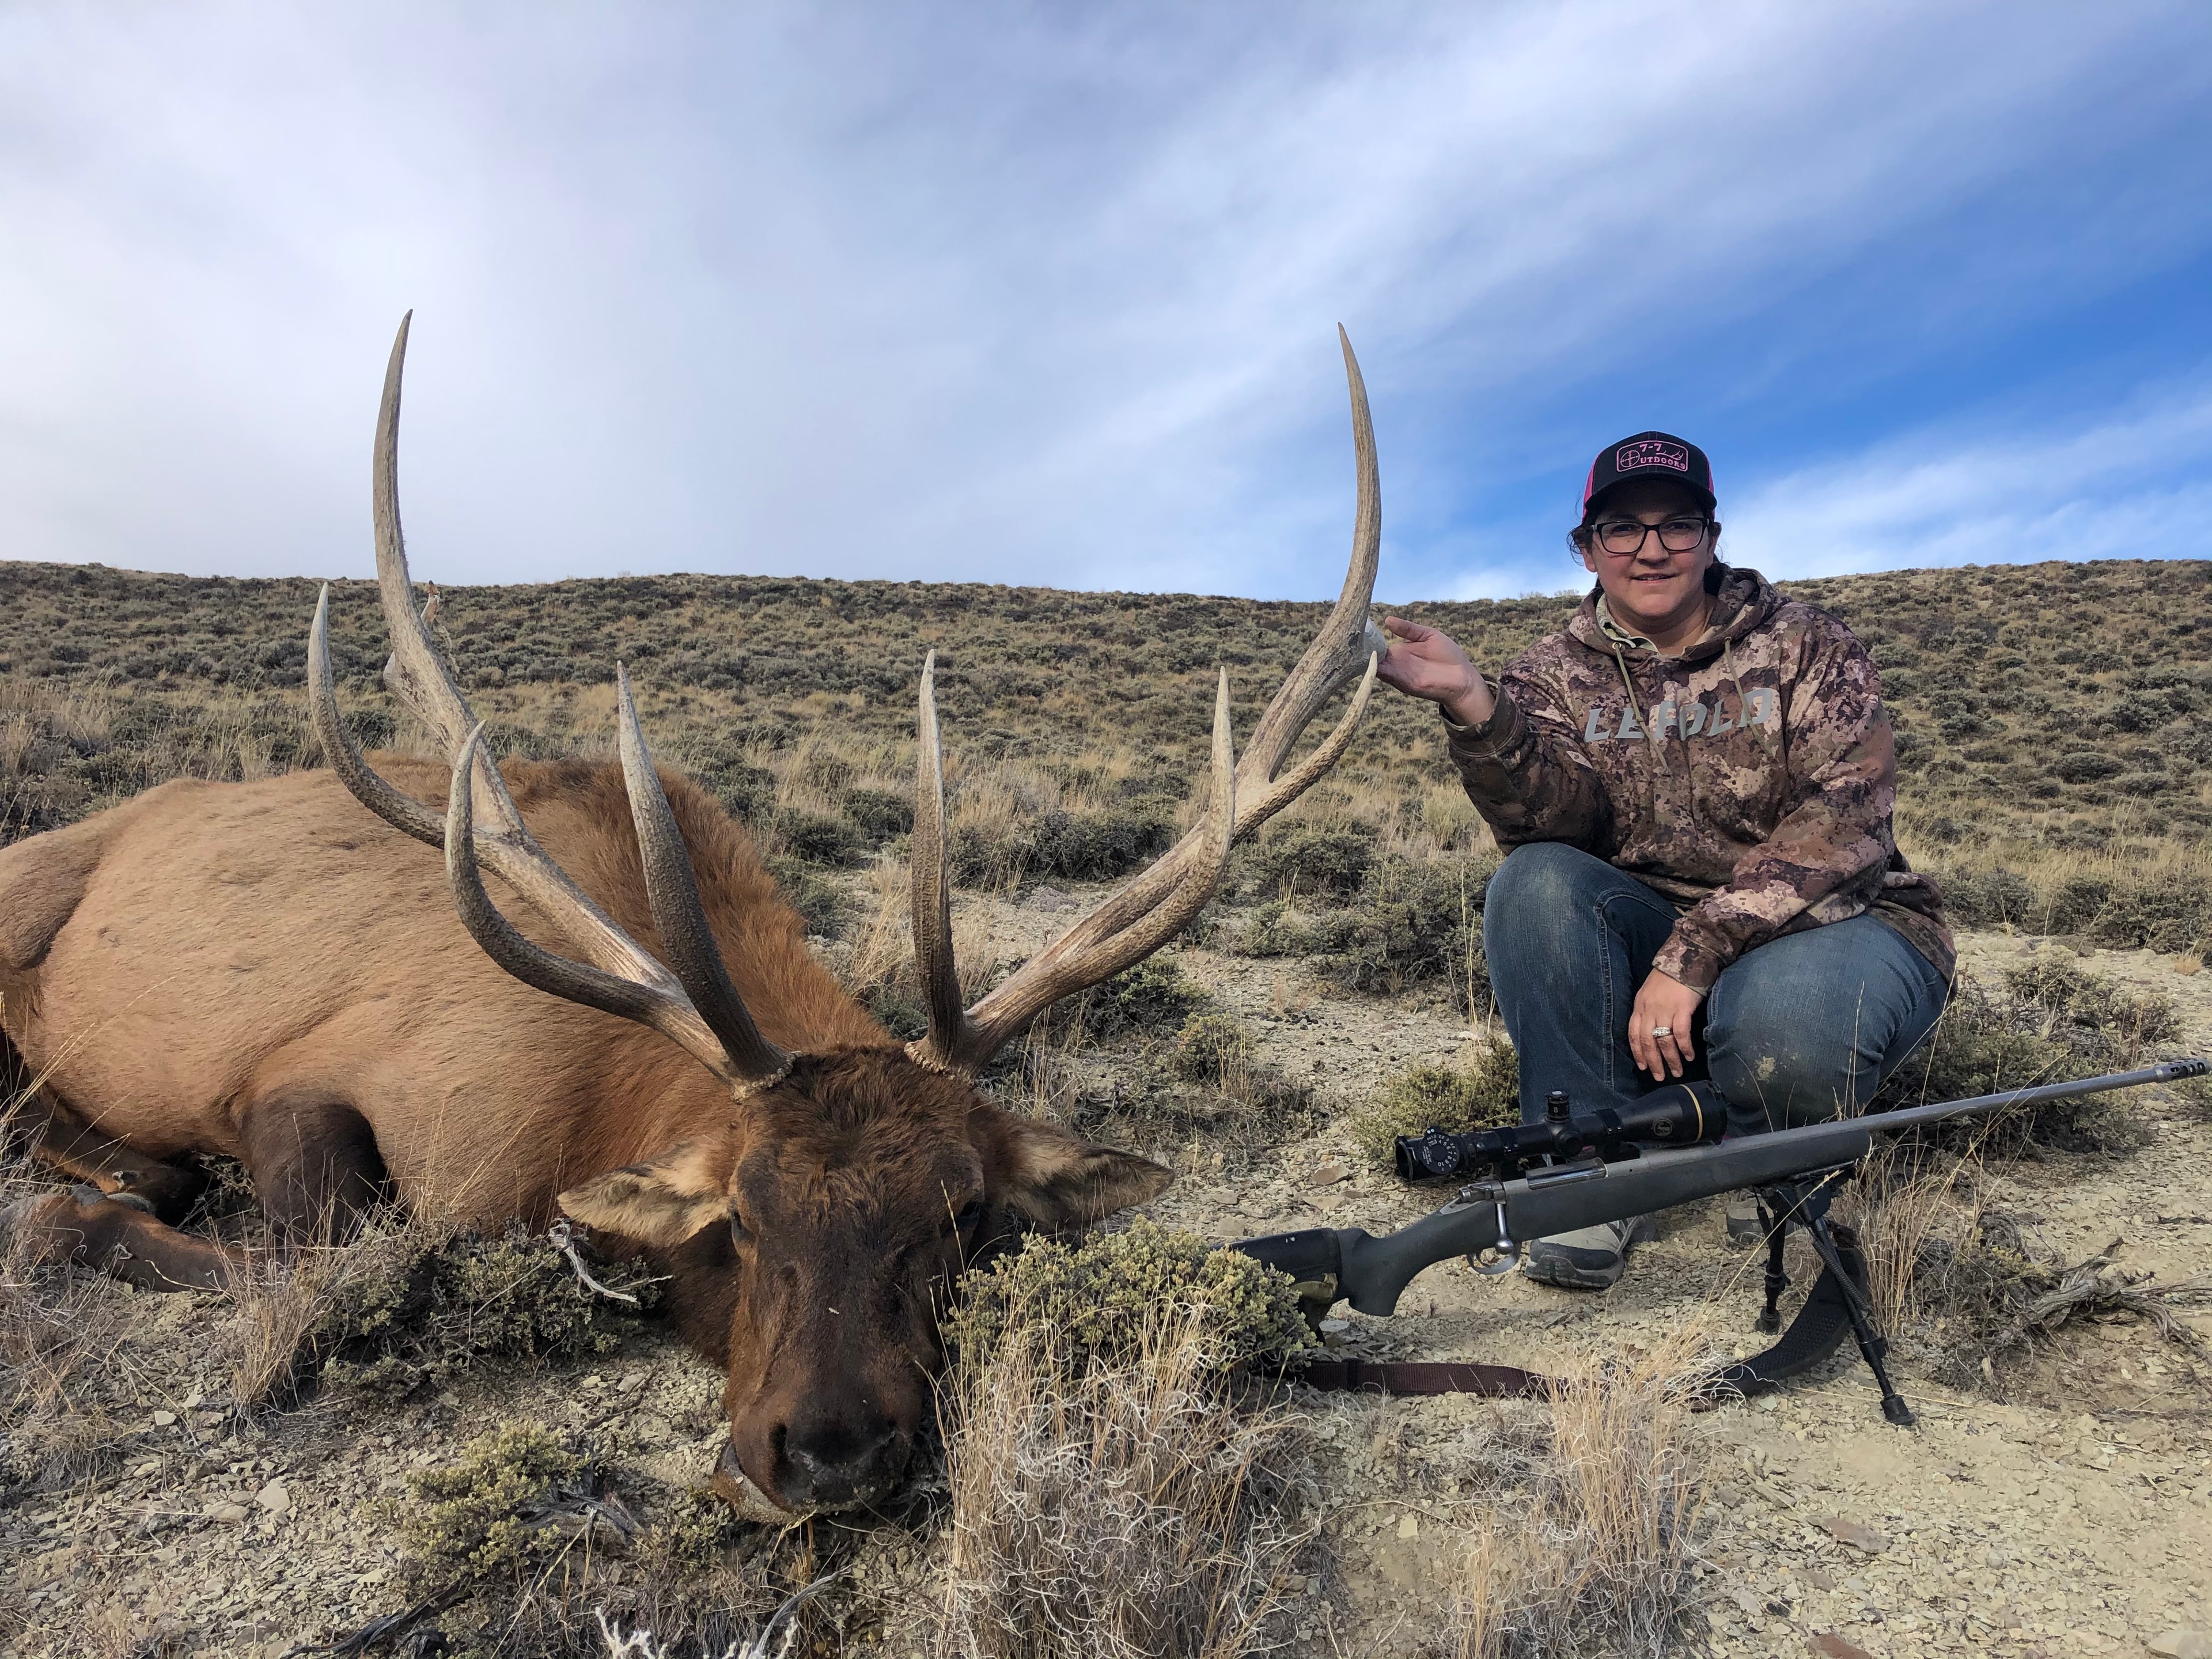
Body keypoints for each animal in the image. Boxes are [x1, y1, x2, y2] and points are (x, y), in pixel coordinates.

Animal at [0, 315, 1385, 1519]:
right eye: (747, 1219)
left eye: (961, 1218)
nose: (830, 1456)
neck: (592, 1102)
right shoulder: (305, 1075)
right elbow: (324, 1254)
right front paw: (82, 1218)